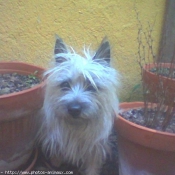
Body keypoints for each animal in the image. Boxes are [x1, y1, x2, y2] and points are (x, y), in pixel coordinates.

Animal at [38, 35, 119, 175]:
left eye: (91, 86)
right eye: (65, 84)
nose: (74, 109)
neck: (76, 126)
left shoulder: (94, 147)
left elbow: (92, 165)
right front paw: (55, 162)